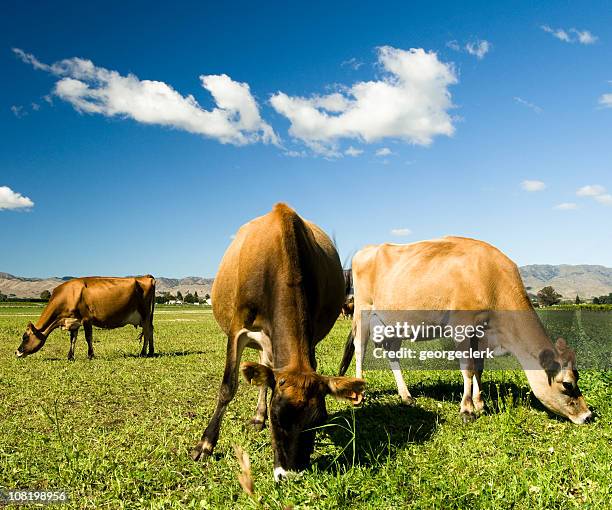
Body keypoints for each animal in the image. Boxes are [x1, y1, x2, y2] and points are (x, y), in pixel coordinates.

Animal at [16, 274, 157, 358]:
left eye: (25, 337)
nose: (17, 351)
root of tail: (146, 276)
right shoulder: (73, 321)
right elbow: (73, 339)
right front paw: (70, 356)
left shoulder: (86, 319)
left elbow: (88, 337)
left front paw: (90, 355)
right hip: (147, 316)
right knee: (150, 330)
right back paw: (151, 351)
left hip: (145, 314)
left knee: (147, 331)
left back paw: (143, 352)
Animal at [191, 201, 364, 480]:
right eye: (277, 418)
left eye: (317, 421)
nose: (289, 474)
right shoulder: (237, 330)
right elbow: (228, 386)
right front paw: (205, 444)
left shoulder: (310, 335)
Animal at [340, 239, 592, 426]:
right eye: (567, 384)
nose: (587, 415)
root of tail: (367, 249)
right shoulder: (461, 326)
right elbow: (468, 369)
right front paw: (467, 409)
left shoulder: (480, 333)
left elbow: (478, 367)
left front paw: (480, 403)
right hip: (363, 310)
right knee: (360, 349)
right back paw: (360, 393)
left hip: (394, 324)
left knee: (392, 354)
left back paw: (406, 396)